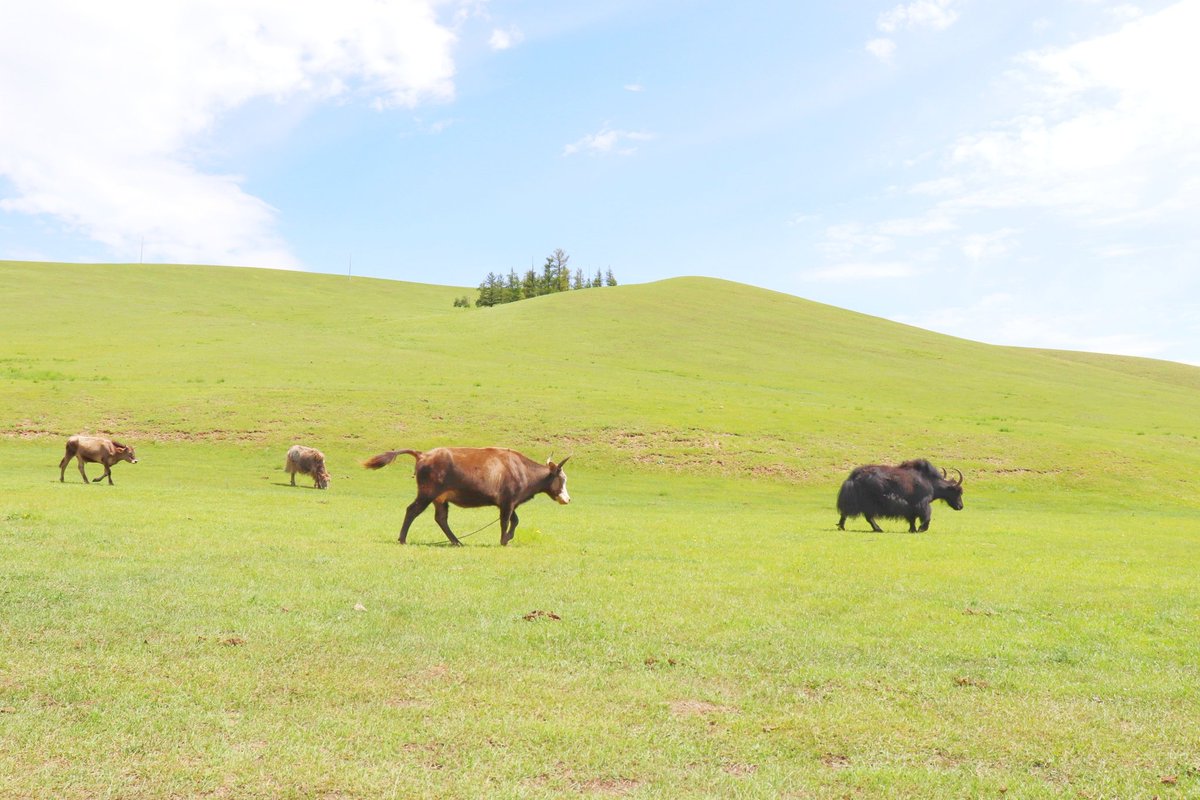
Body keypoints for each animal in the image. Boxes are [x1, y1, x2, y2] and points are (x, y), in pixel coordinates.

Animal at [357, 448, 568, 546]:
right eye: (562, 479)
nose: (568, 499)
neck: (521, 468)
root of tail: (423, 455)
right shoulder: (508, 502)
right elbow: (506, 521)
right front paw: (503, 540)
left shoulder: (507, 503)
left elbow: (514, 521)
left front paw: (507, 538)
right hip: (427, 494)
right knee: (412, 511)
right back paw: (402, 539)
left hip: (440, 499)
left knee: (441, 518)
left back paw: (456, 541)